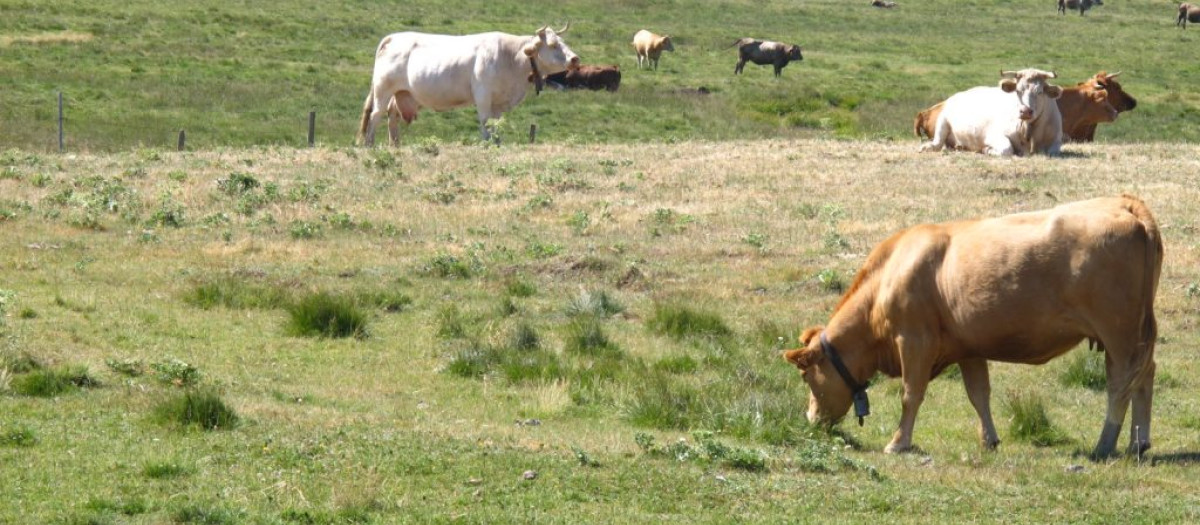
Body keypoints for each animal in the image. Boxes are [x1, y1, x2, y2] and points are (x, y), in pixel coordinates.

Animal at [358, 24, 580, 146]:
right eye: (553, 45)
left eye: (564, 42)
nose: (575, 59)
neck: (511, 58)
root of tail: (393, 37)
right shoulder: (483, 95)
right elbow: (485, 122)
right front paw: (486, 143)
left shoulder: (498, 102)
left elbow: (496, 124)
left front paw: (497, 143)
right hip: (383, 89)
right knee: (376, 115)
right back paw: (370, 144)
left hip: (401, 93)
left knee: (392, 117)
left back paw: (395, 145)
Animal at [784, 195, 1162, 458]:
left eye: (805, 375)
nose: (810, 420)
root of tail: (1125, 203)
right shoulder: (967, 347)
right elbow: (979, 394)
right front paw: (989, 440)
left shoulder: (914, 340)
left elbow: (911, 393)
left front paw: (898, 443)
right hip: (1135, 334)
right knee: (1144, 377)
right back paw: (1138, 444)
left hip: (1119, 333)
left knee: (1120, 385)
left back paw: (1105, 445)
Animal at [920, 69, 1063, 156]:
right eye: (1017, 91)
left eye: (1040, 92)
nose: (1025, 111)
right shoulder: (993, 136)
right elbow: (1007, 149)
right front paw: (987, 149)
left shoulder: (1056, 140)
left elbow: (1052, 151)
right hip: (943, 120)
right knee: (937, 143)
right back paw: (927, 147)